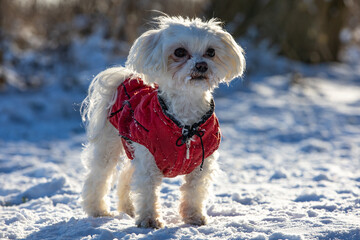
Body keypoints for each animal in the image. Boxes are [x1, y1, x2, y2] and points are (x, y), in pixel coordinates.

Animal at [81, 15, 245, 228]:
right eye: (179, 52)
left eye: (211, 52)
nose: (201, 65)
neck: (185, 123)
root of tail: (127, 78)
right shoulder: (148, 157)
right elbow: (147, 191)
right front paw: (149, 220)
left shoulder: (202, 162)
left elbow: (194, 191)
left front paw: (194, 216)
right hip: (109, 146)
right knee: (99, 176)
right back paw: (97, 210)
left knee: (126, 177)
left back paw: (128, 208)